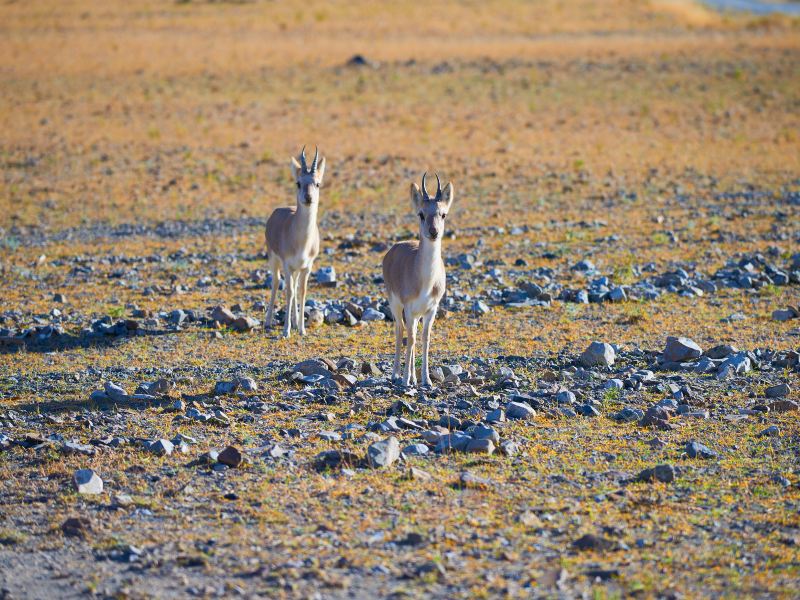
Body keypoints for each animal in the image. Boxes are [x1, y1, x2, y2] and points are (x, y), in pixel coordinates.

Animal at [264, 146, 324, 338]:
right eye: (298, 182)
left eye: (317, 183)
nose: (308, 197)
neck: (301, 242)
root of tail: (277, 211)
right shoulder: (287, 265)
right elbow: (289, 292)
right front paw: (286, 331)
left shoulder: (307, 267)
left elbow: (302, 291)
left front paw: (302, 329)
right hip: (274, 260)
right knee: (276, 283)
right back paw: (268, 322)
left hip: (297, 269)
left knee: (295, 286)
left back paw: (296, 322)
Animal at [382, 172, 454, 390]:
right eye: (421, 214)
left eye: (443, 214)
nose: (433, 232)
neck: (426, 282)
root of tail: (394, 248)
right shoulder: (408, 307)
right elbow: (411, 338)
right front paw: (405, 379)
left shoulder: (431, 310)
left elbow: (424, 338)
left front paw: (426, 380)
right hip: (396, 306)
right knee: (400, 332)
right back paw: (397, 375)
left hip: (416, 314)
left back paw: (414, 377)